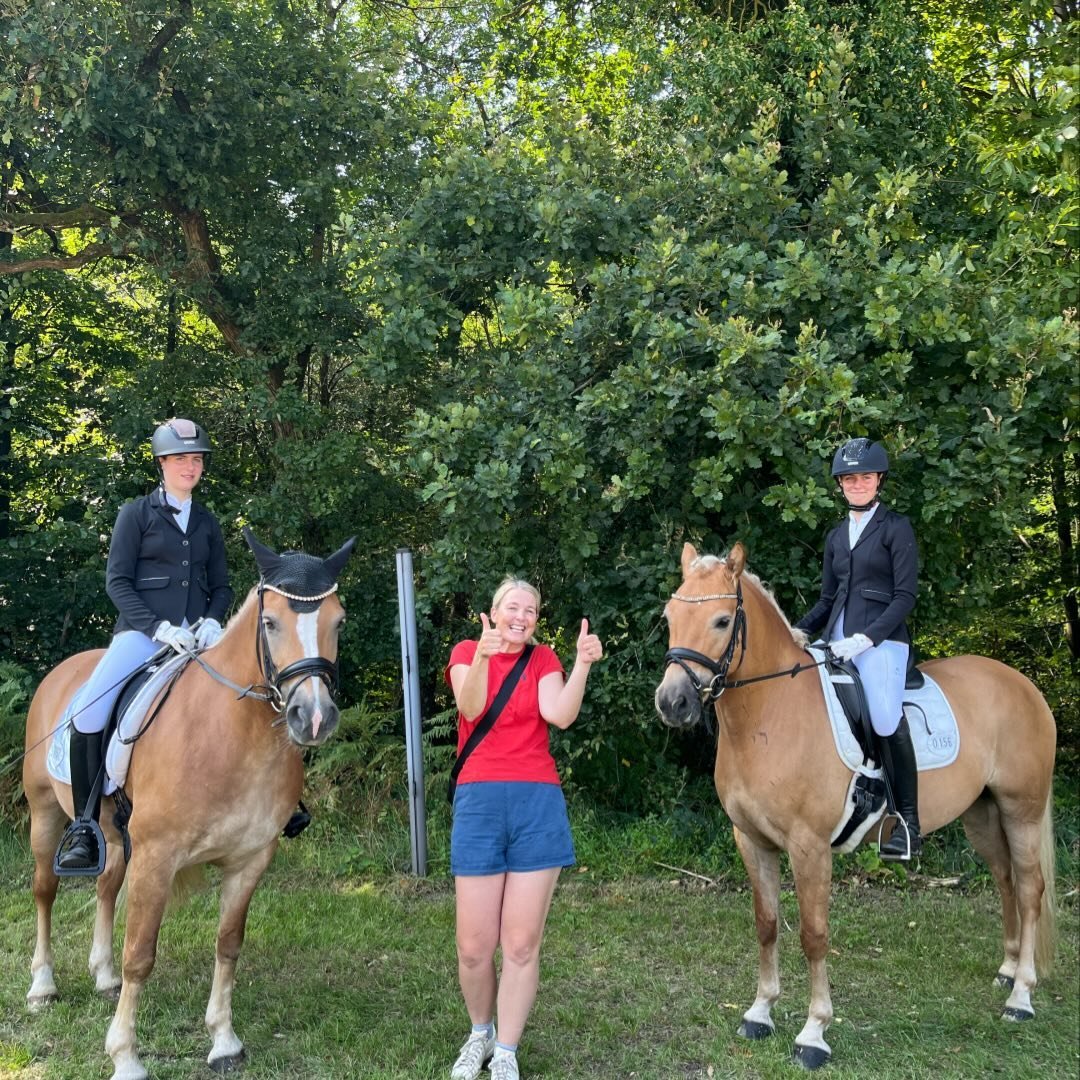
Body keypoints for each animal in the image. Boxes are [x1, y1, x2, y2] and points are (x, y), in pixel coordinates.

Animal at [22, 529, 355, 1080]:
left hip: (115, 835)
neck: (230, 736)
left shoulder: (250, 860)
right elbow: (141, 953)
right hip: (45, 813)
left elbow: (228, 944)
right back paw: (42, 985)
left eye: (338, 620)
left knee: (106, 889)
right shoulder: (158, 857)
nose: (313, 717)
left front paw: (223, 1040)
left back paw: (103, 975)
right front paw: (125, 1056)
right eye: (270, 622)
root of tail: (64, 670)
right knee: (46, 890)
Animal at [654, 542, 1057, 1069]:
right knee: (1006, 880)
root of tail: (1022, 684)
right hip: (983, 816)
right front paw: (759, 1013)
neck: (771, 712)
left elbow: (813, 934)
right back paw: (1008, 971)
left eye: (722, 621)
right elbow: (766, 924)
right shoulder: (752, 840)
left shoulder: (809, 848)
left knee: (1030, 889)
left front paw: (813, 1033)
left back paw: (1021, 997)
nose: (672, 702)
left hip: (1021, 809)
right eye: (669, 617)